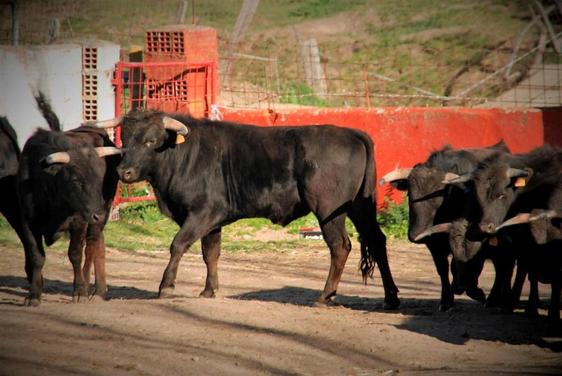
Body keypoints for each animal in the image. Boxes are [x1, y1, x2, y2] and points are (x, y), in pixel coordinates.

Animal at [101, 109, 398, 308]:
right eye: (124, 139)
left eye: (151, 141)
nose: (124, 172)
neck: (184, 155)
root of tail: (353, 133)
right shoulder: (213, 221)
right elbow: (211, 254)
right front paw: (209, 290)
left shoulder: (201, 213)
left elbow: (178, 245)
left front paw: (166, 286)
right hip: (361, 207)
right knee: (377, 240)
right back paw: (391, 297)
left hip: (329, 211)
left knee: (340, 246)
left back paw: (325, 295)